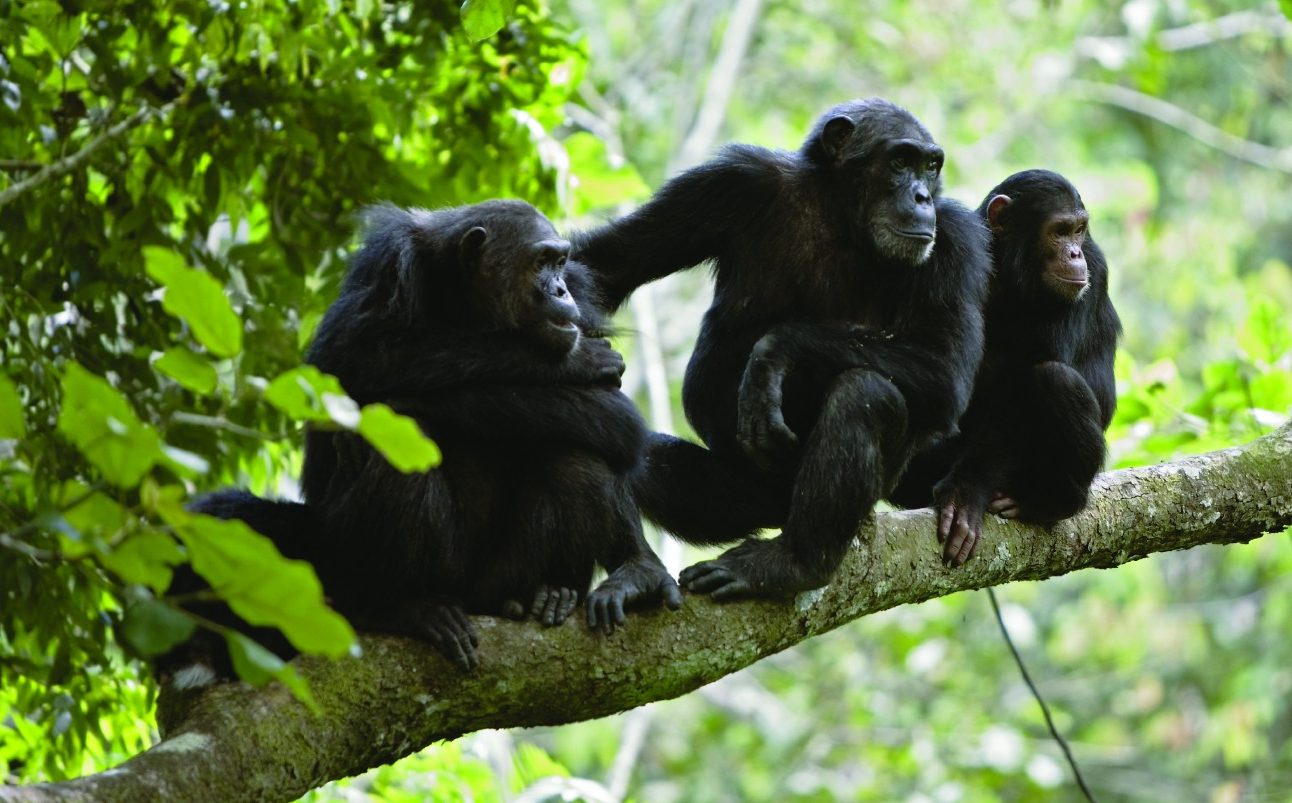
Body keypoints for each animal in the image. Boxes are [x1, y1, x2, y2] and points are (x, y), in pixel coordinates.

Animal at [169, 202, 687, 681]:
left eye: (560, 263)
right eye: (541, 262)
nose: (558, 290)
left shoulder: (582, 293)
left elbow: (612, 416)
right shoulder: (386, 265)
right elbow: (355, 358)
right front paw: (573, 362)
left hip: (503, 576)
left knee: (578, 447)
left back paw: (593, 581)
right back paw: (402, 607)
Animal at [573, 97, 987, 601]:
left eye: (930, 166)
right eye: (900, 161)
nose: (922, 196)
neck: (840, 215)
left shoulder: (956, 240)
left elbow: (945, 368)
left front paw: (773, 354)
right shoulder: (727, 182)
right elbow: (605, 265)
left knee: (866, 395)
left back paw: (793, 563)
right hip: (742, 498)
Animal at [888, 167, 1121, 565]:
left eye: (1079, 230)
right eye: (1059, 231)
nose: (1074, 253)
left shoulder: (1094, 266)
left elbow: (1023, 383)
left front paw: (965, 494)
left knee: (1054, 379)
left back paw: (1050, 501)